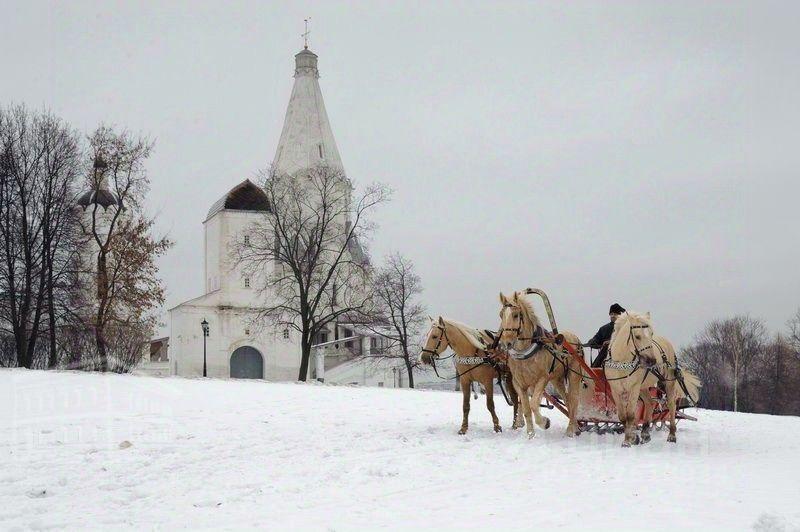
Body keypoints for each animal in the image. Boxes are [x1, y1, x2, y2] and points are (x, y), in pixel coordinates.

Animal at [496, 294, 584, 438]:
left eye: (515, 315)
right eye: (501, 314)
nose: (506, 342)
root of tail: (575, 339)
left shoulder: (542, 379)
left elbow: (533, 404)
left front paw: (544, 423)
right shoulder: (518, 383)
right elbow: (526, 408)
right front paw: (530, 435)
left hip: (574, 375)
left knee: (574, 399)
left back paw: (570, 430)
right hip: (557, 380)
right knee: (567, 400)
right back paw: (576, 428)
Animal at [608, 310, 700, 446]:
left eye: (651, 334)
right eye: (637, 336)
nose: (651, 361)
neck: (622, 362)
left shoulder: (634, 388)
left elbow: (630, 415)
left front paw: (627, 441)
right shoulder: (616, 390)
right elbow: (622, 416)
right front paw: (632, 437)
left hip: (668, 382)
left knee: (671, 405)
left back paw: (672, 435)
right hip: (643, 387)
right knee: (650, 403)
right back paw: (645, 433)